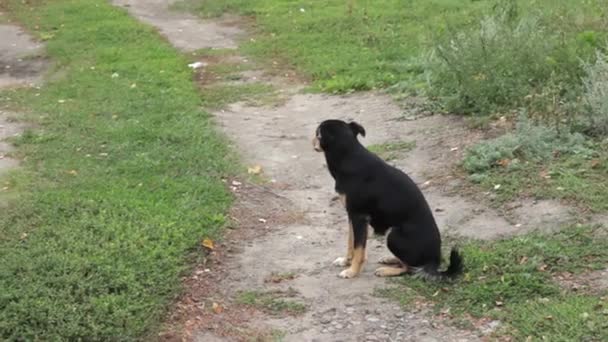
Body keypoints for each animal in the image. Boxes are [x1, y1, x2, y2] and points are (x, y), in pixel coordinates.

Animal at [312, 119, 464, 280]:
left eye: (318, 134)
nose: (313, 139)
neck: (349, 156)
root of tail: (434, 263)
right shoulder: (351, 215)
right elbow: (351, 241)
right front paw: (346, 261)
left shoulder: (359, 217)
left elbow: (358, 249)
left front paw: (352, 271)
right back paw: (390, 259)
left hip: (393, 236)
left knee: (409, 269)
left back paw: (387, 270)